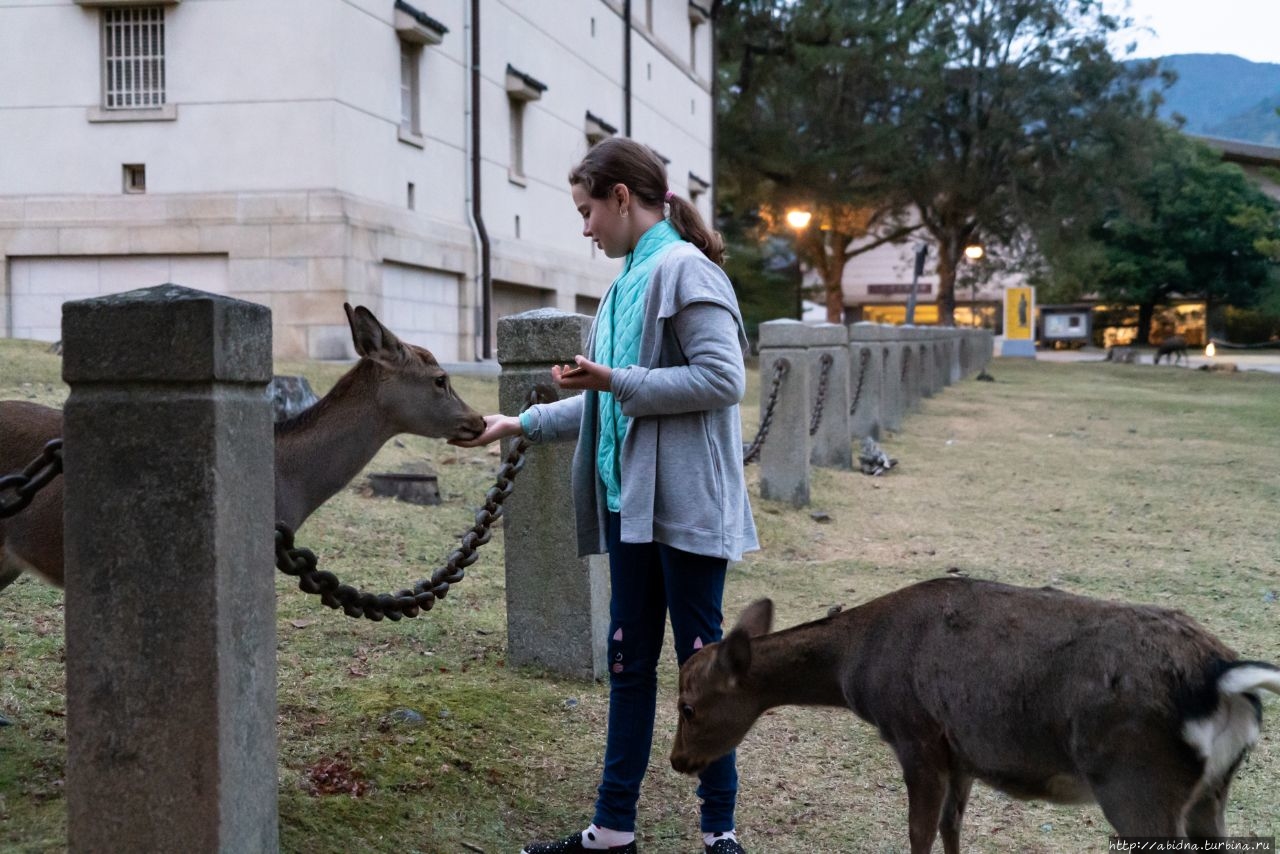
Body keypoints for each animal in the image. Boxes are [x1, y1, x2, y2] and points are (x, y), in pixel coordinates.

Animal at [670, 578, 1280, 850]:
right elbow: (951, 828)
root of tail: (1219, 675)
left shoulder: (915, 735)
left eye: (688, 706)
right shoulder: (960, 753)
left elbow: (918, 833)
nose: (677, 760)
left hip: (1137, 781)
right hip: (1211, 791)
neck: (856, 669)